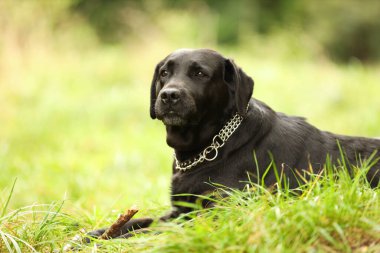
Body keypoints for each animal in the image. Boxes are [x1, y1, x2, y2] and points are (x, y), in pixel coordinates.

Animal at [90, 49, 380, 239]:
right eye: (164, 73)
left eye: (200, 73)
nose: (169, 95)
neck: (213, 146)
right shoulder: (180, 210)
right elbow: (138, 222)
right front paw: (93, 234)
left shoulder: (215, 213)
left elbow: (148, 231)